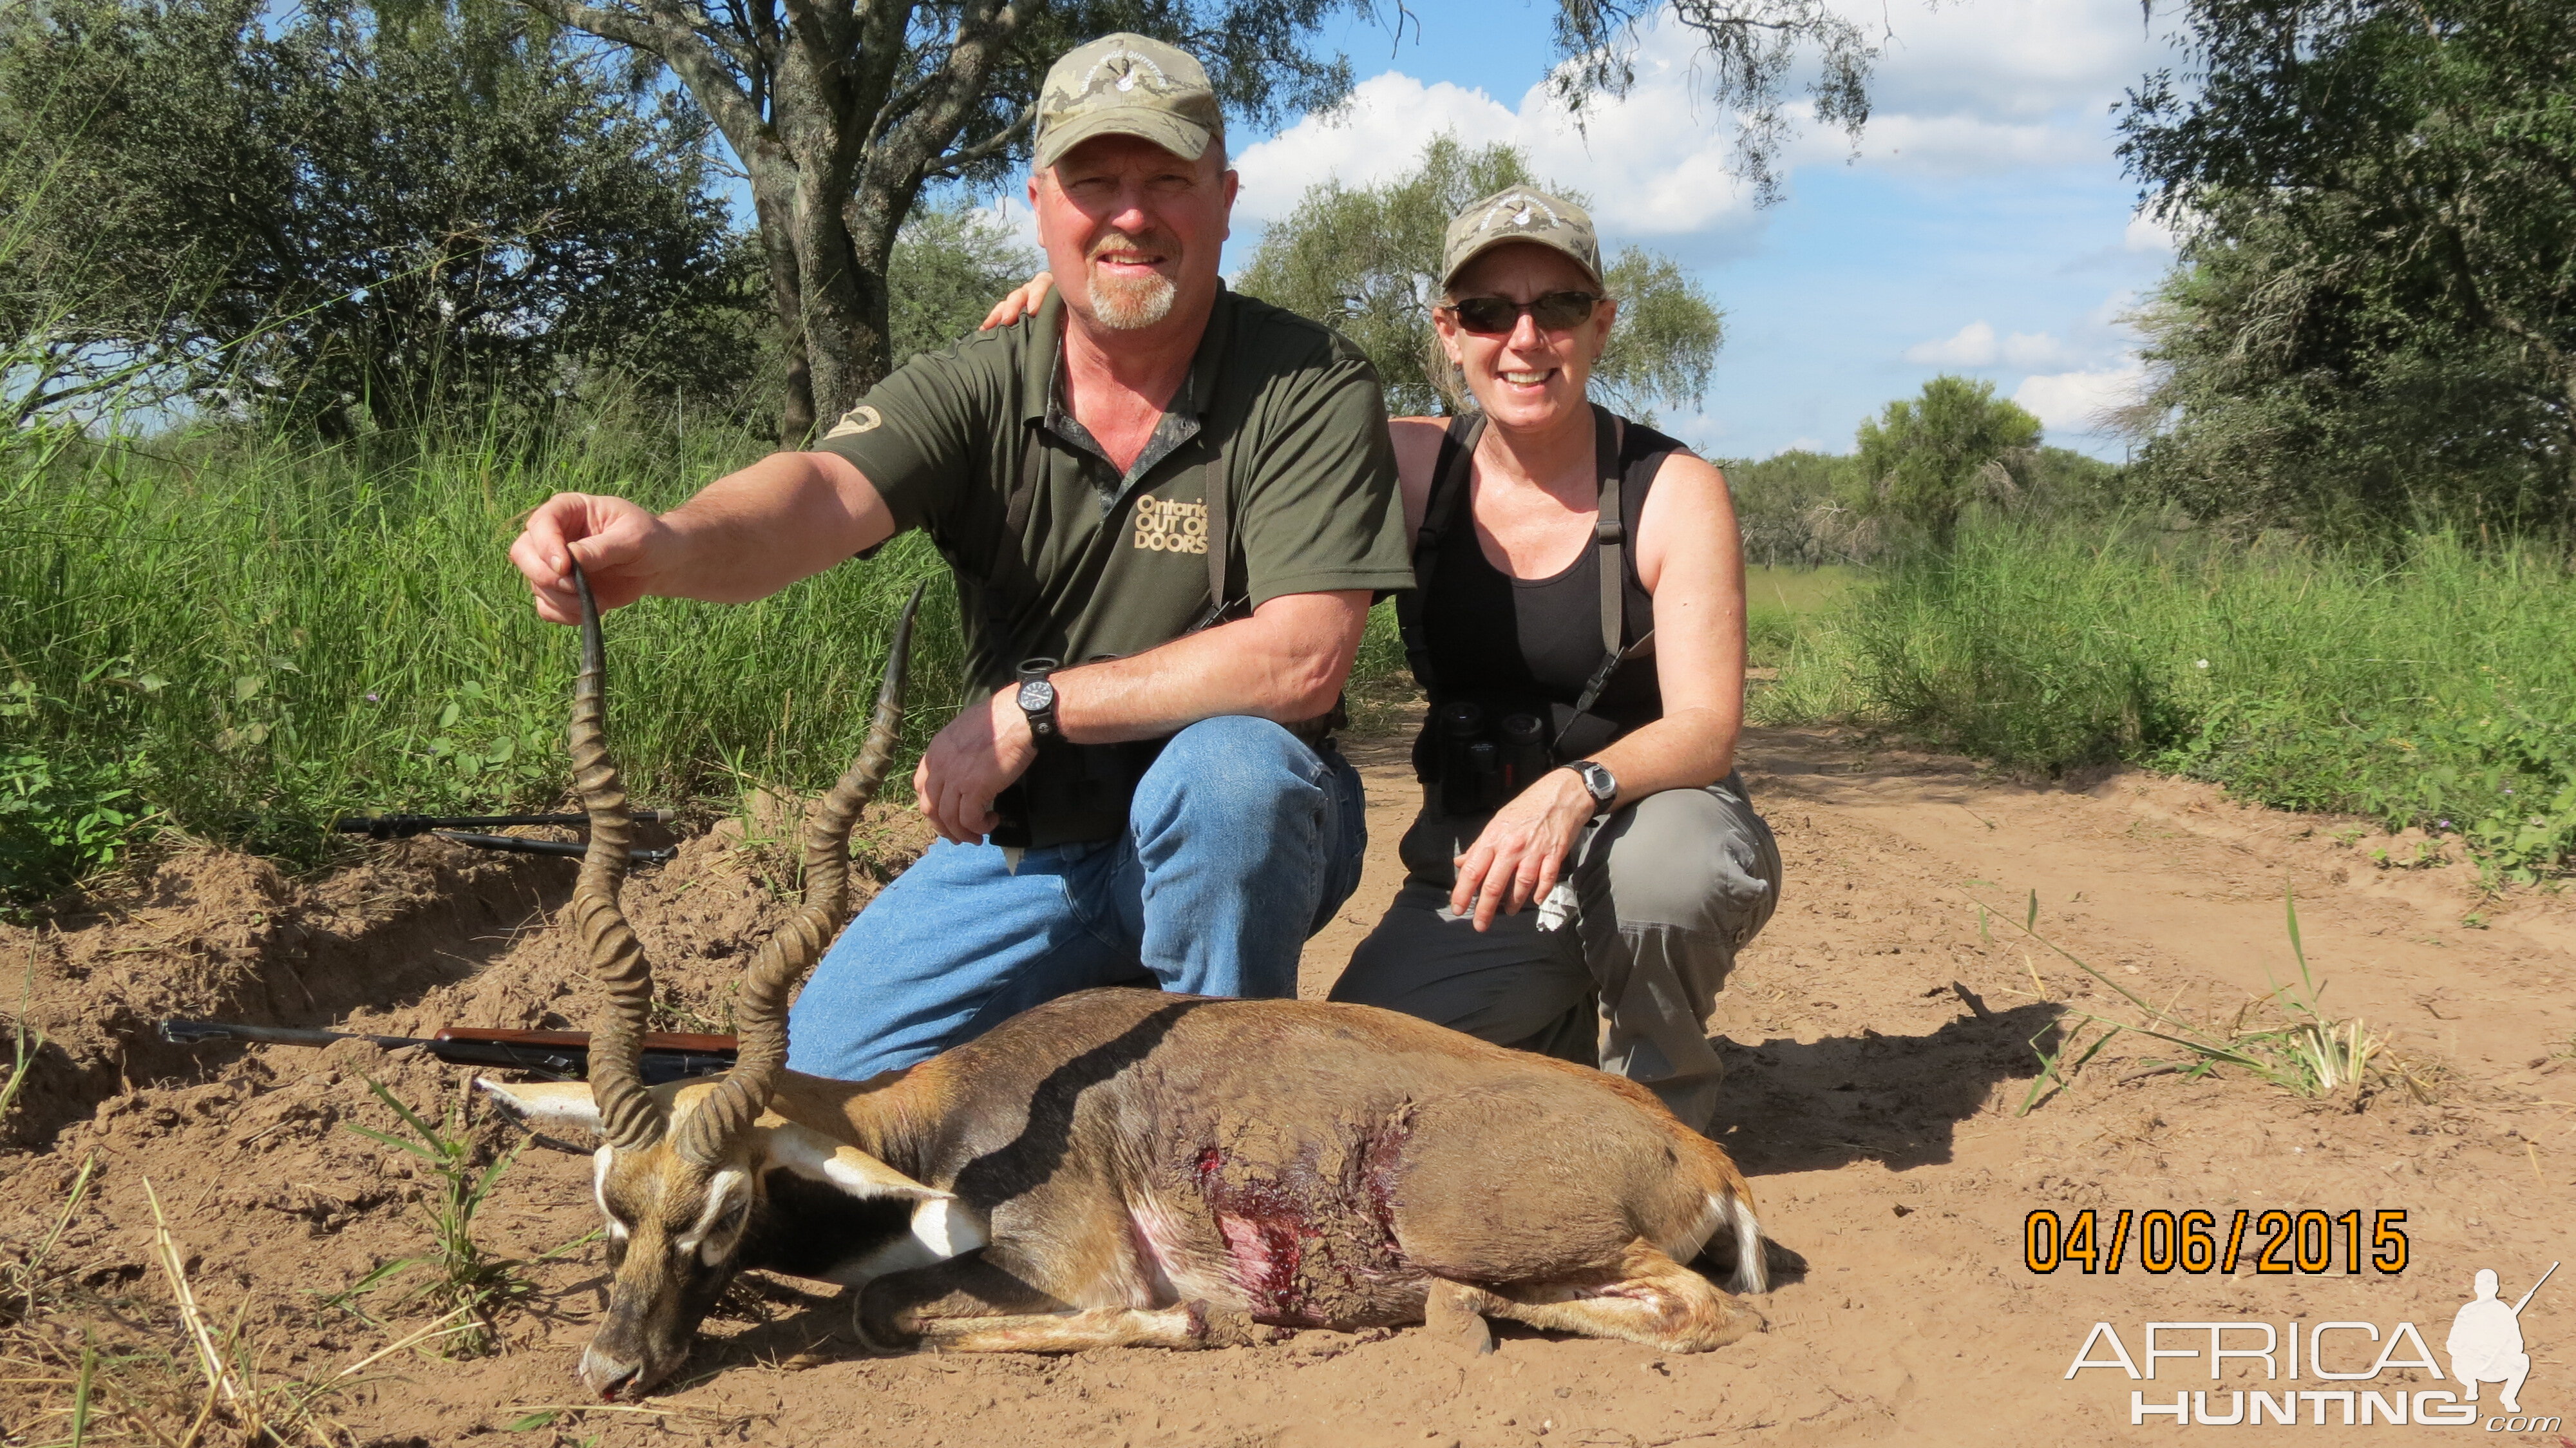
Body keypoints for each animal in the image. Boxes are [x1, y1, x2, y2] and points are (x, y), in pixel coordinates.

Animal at [484, 567, 1772, 1402]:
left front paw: (1196, 1315)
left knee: (1704, 1309)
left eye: (723, 1209)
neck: (933, 1126)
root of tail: (1695, 1152)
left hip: (1463, 1223)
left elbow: (890, 1309)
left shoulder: (1071, 1266)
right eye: (610, 1201)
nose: (609, 1370)